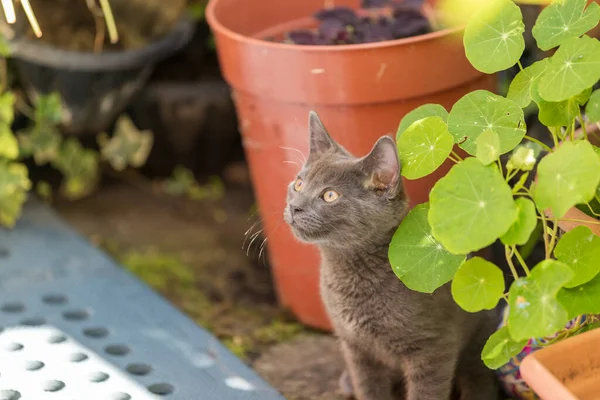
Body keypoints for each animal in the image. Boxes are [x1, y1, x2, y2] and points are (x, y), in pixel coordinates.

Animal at [284, 111, 500, 400]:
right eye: (299, 184)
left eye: (330, 195)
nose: (294, 207)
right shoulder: (355, 348)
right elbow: (369, 389)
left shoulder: (433, 347)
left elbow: (425, 393)